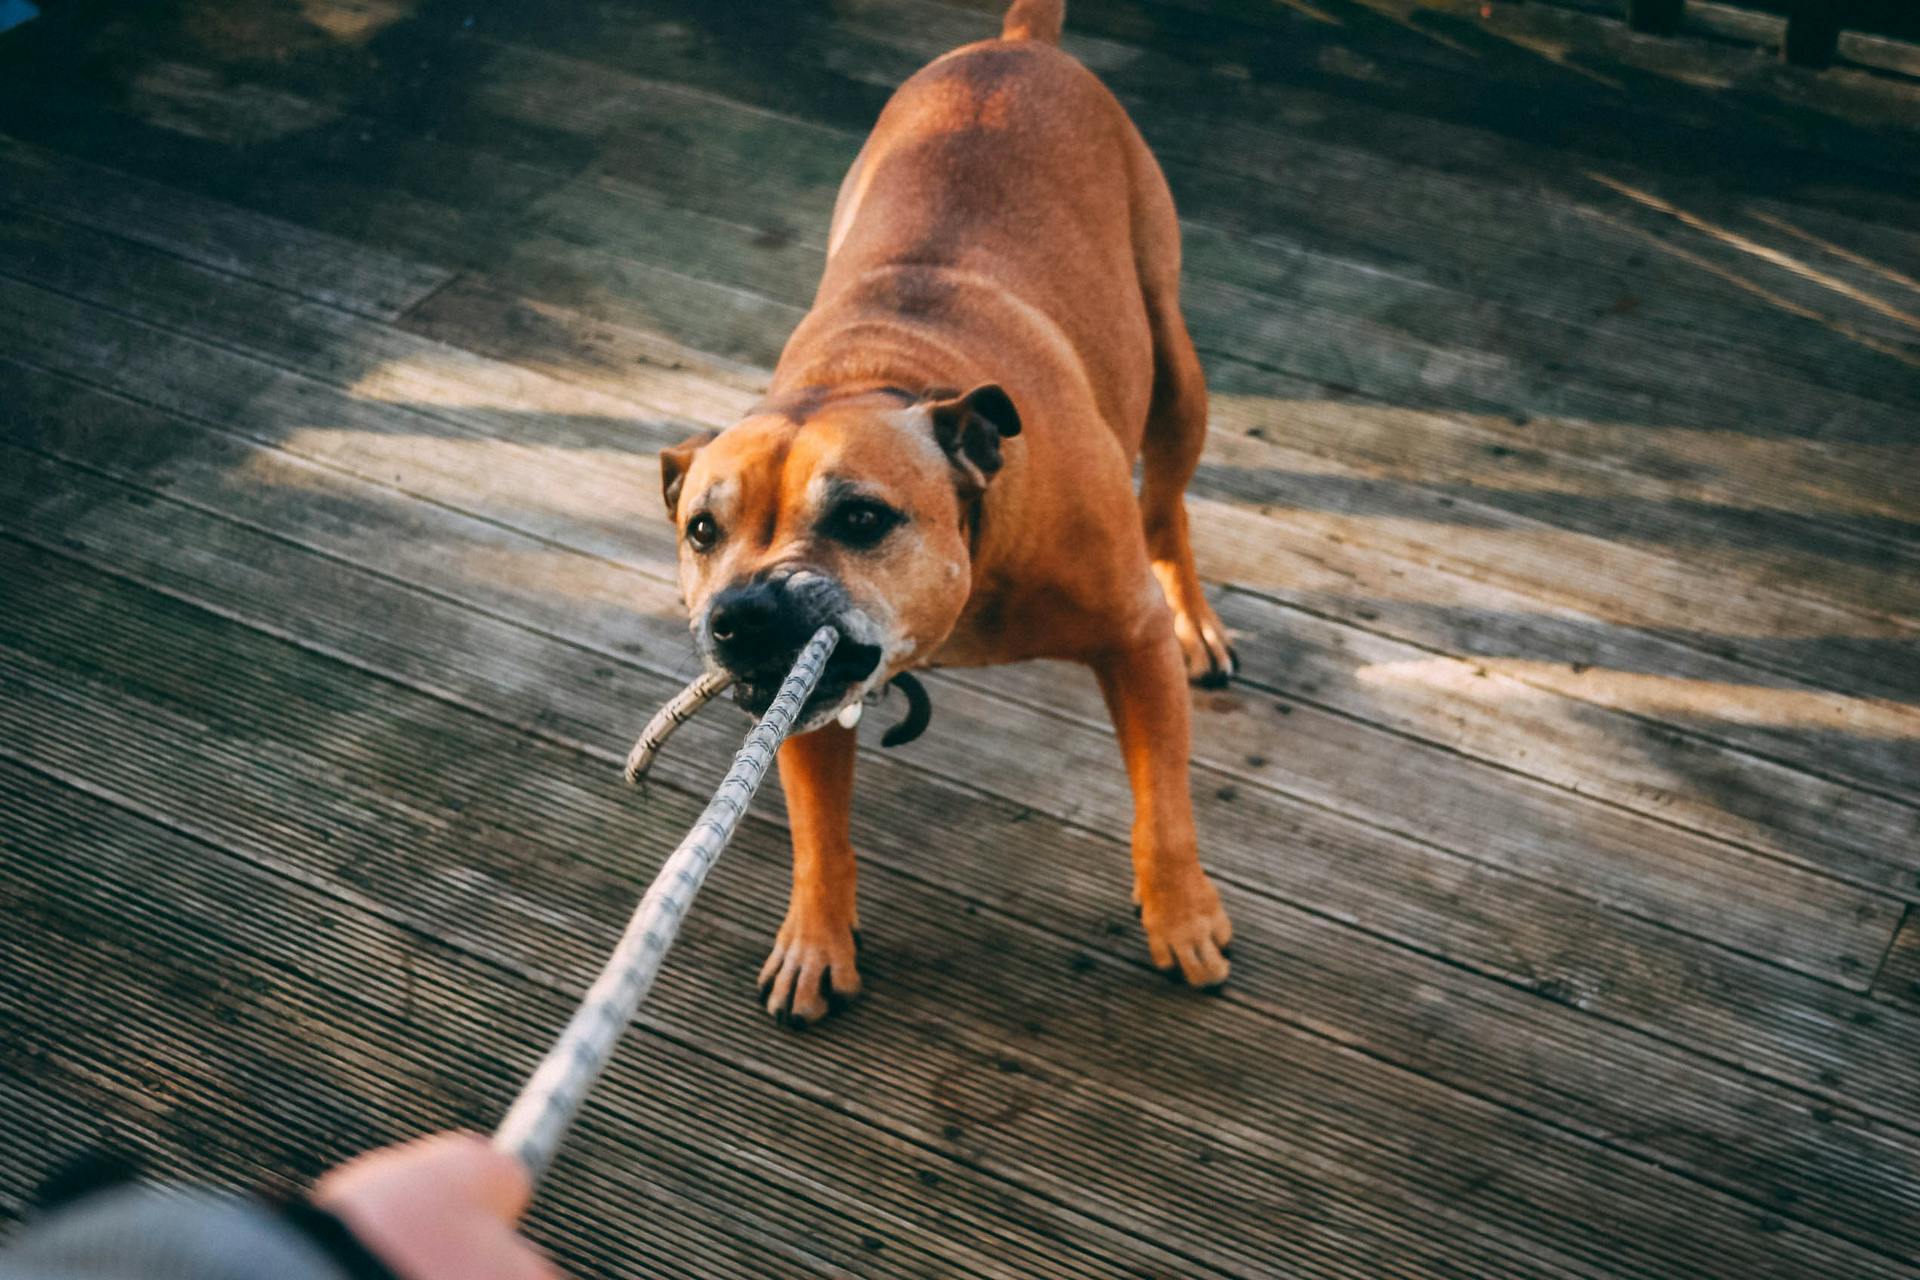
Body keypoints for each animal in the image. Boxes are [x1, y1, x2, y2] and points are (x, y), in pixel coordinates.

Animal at [660, 0, 1228, 1020]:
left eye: (861, 520)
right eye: (701, 532)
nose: (741, 616)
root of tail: (1017, 46)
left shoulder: (1132, 642)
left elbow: (1162, 804)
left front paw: (1183, 917)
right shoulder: (806, 710)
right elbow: (820, 833)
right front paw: (816, 941)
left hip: (1174, 369)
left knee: (1167, 504)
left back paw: (1198, 621)